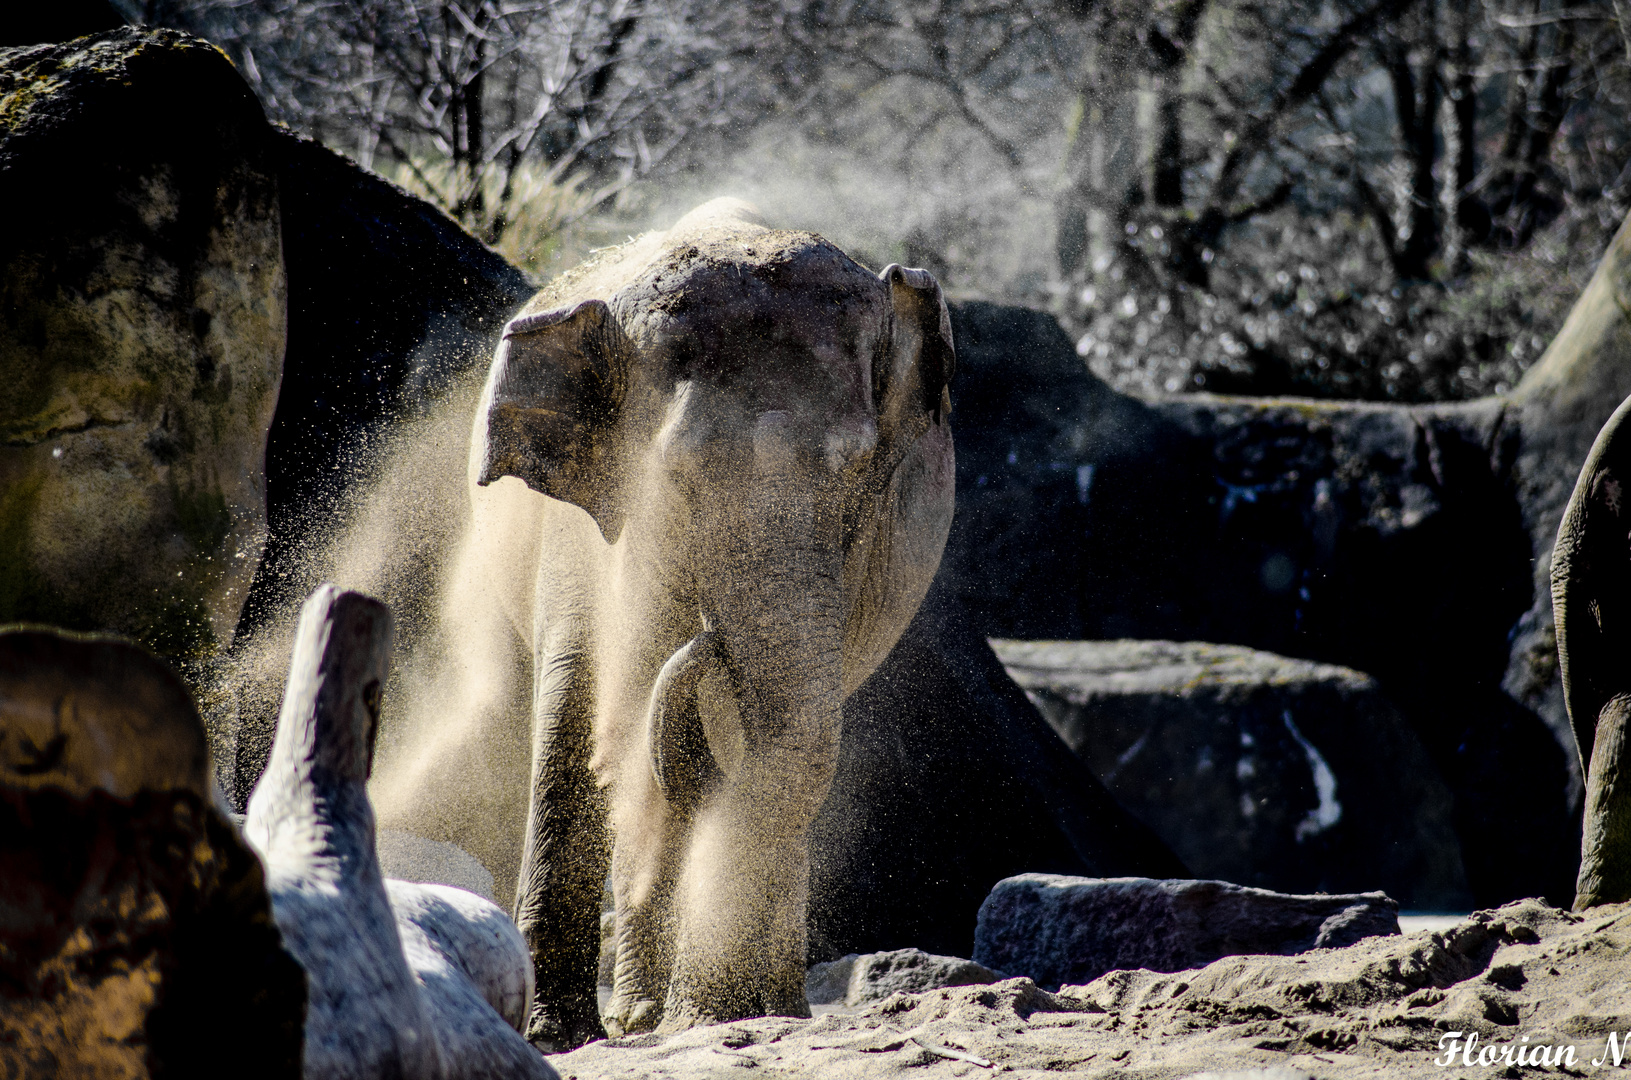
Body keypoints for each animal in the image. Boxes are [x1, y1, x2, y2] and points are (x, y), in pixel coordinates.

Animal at [463, 199, 952, 1044]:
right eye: (674, 478)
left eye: (857, 469)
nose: (707, 635)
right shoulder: (585, 529)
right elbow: (579, 708)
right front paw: (557, 1036)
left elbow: (775, 745)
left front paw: (720, 1014)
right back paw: (639, 1017)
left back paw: (745, 1009)